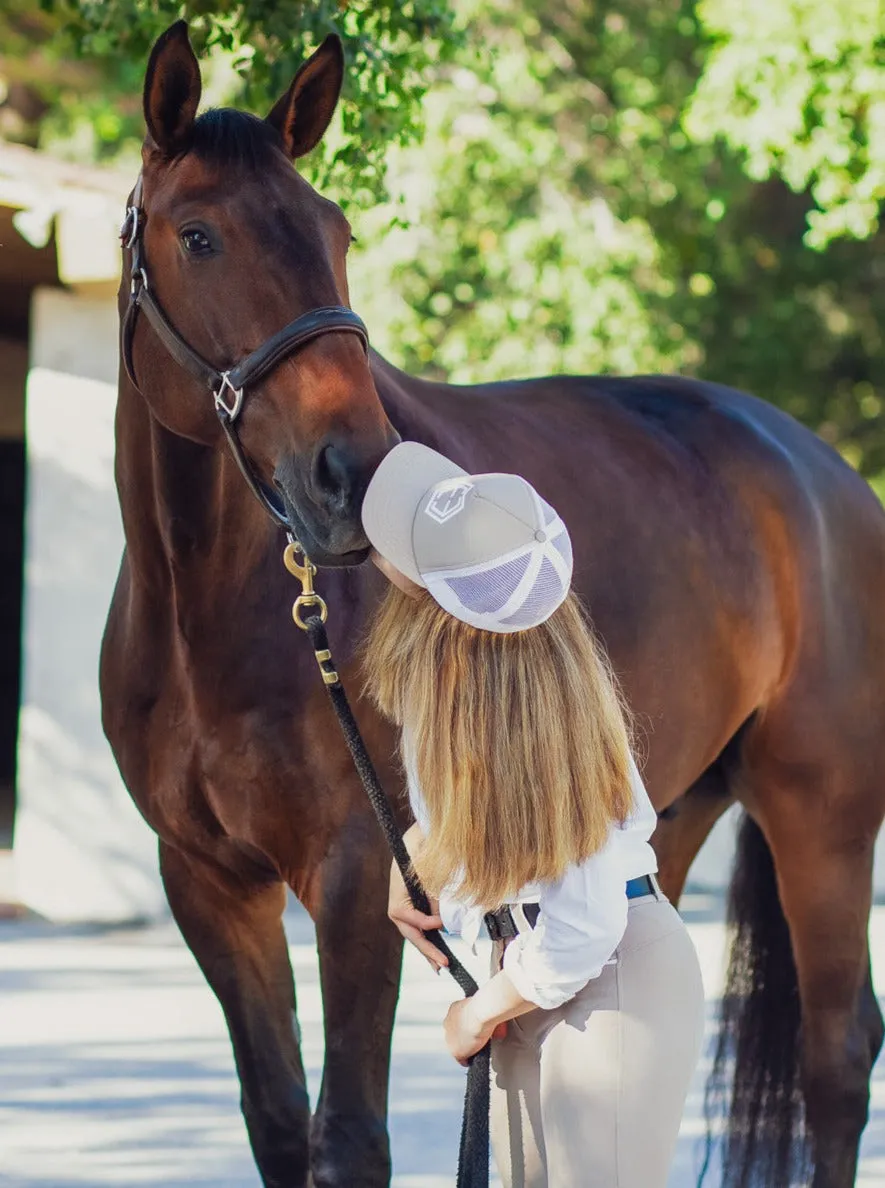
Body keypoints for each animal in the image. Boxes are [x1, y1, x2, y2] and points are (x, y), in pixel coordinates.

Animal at [100, 18, 883, 1188]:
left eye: (334, 230)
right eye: (197, 236)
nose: (350, 475)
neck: (206, 616)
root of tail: (819, 468)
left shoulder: (359, 873)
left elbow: (349, 1138)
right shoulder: (207, 884)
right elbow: (278, 1124)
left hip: (821, 812)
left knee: (836, 1056)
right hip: (671, 808)